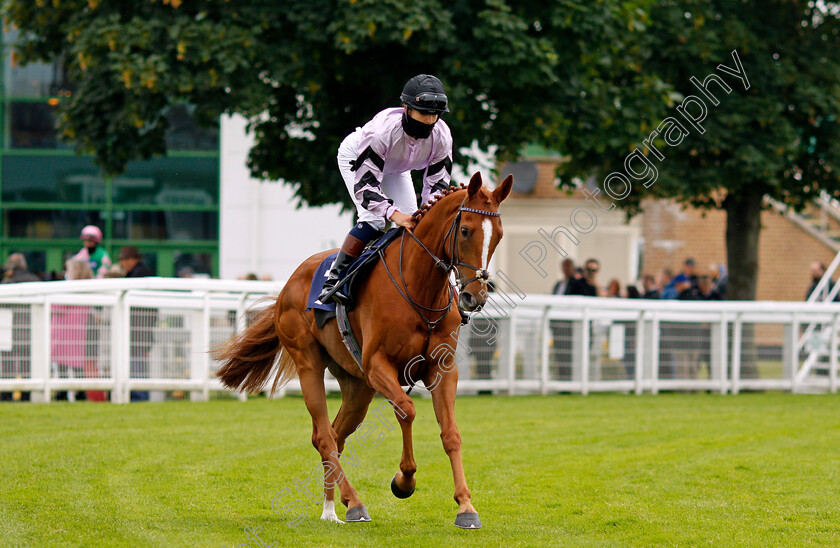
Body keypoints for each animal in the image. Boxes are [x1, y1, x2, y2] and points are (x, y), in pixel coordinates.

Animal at [215, 171, 512, 528]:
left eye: (498, 236)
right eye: (466, 230)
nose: (475, 296)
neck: (419, 288)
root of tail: (287, 286)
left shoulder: (442, 369)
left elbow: (451, 433)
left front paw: (466, 507)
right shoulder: (377, 365)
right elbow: (407, 410)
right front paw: (404, 481)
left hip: (356, 386)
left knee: (335, 435)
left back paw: (332, 506)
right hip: (309, 362)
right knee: (323, 436)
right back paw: (353, 502)